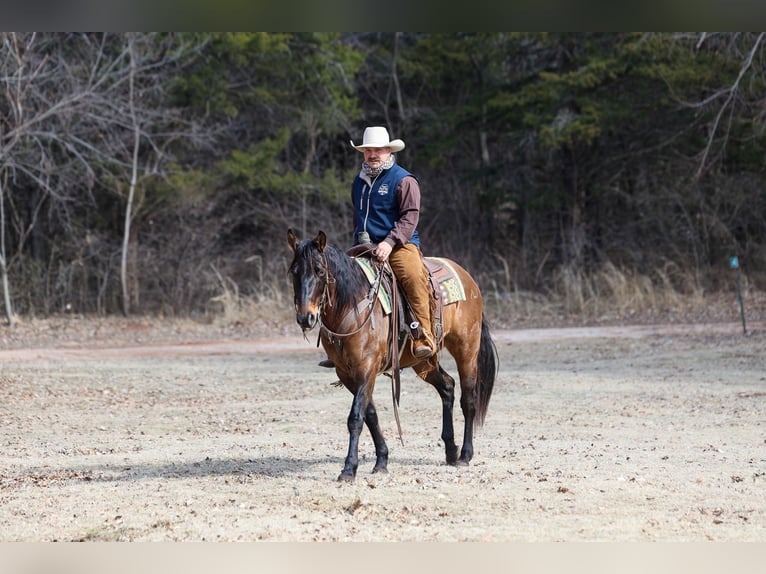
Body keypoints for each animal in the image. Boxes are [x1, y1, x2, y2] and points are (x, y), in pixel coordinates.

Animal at [287, 229, 497, 483]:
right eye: (294, 272)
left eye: (319, 270)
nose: (305, 317)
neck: (353, 306)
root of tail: (468, 278)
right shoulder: (347, 373)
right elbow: (370, 414)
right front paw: (381, 460)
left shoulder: (366, 368)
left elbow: (355, 418)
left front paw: (349, 469)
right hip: (423, 361)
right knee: (447, 386)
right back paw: (450, 450)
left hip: (466, 349)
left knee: (468, 399)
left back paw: (465, 455)